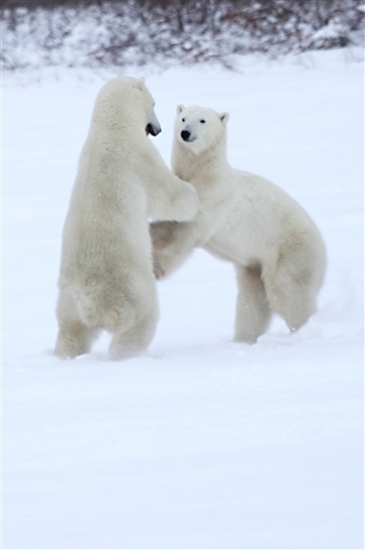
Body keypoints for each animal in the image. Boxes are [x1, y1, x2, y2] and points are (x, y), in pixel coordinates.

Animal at [54, 78, 199, 362]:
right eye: (153, 103)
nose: (158, 129)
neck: (110, 127)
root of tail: (89, 297)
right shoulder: (139, 156)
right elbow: (169, 196)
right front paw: (193, 195)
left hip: (67, 299)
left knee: (71, 331)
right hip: (129, 287)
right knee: (140, 319)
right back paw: (132, 356)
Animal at [149, 105, 326, 342]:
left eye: (203, 120)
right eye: (183, 118)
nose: (185, 133)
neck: (206, 175)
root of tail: (323, 249)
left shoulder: (213, 201)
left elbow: (183, 235)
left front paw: (156, 266)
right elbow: (169, 222)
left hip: (291, 252)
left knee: (288, 292)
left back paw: (303, 329)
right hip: (253, 265)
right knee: (251, 302)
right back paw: (243, 339)